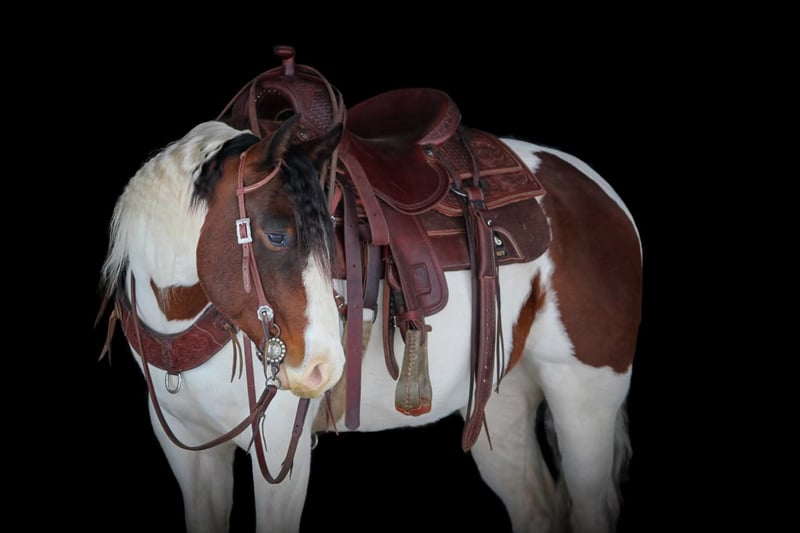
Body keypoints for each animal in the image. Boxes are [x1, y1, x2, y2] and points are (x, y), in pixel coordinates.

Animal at [97, 70, 642, 532]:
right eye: (276, 235)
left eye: (330, 238)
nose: (323, 368)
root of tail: (596, 189)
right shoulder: (187, 452)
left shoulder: (282, 452)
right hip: (501, 399)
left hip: (584, 400)